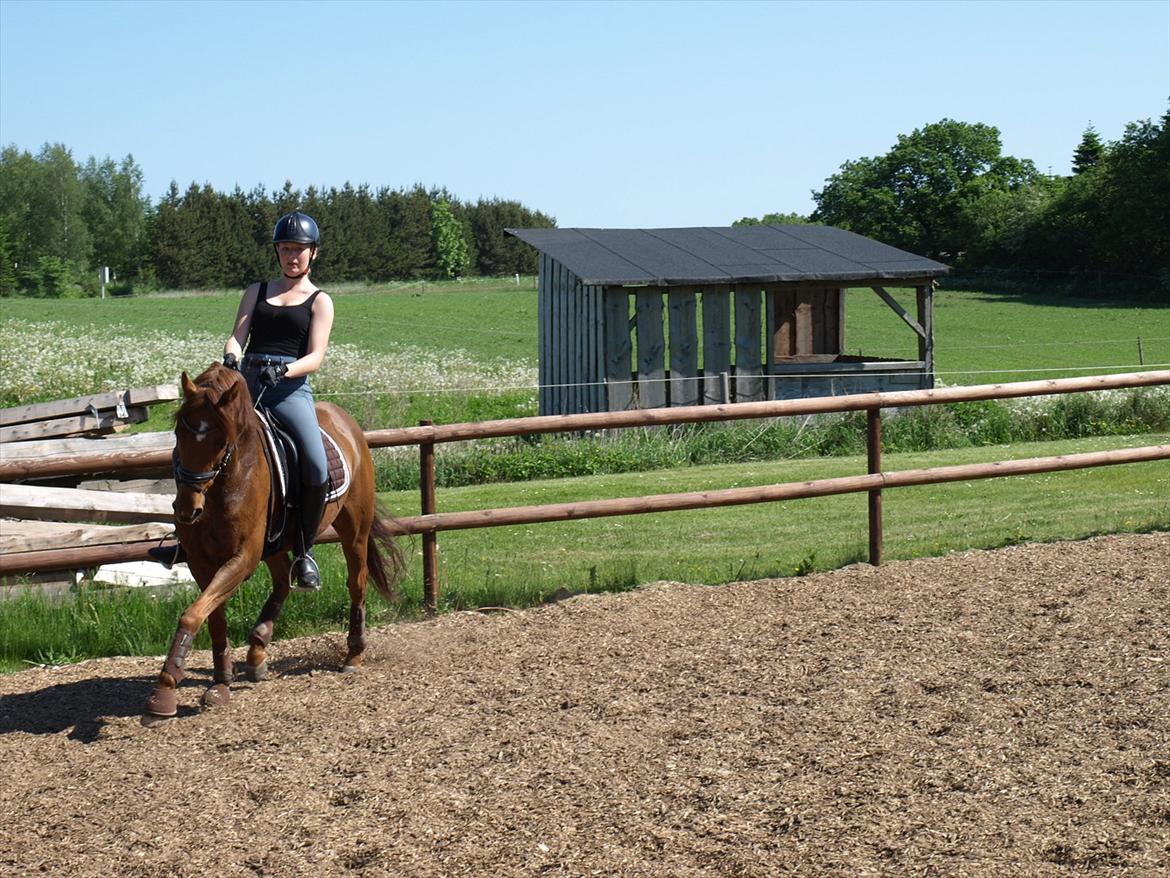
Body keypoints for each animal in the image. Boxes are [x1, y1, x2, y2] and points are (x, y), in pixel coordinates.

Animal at [144, 361, 405, 719]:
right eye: (179, 434)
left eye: (221, 441)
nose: (188, 509)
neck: (226, 483)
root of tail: (345, 419)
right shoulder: (201, 561)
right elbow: (212, 619)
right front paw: (220, 684)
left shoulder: (242, 558)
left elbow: (193, 614)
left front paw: (165, 690)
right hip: (276, 544)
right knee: (283, 582)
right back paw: (257, 650)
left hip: (354, 533)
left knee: (357, 584)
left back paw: (353, 654)